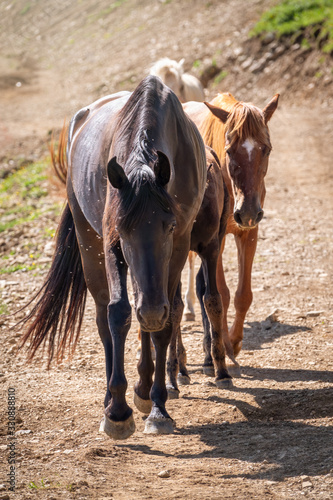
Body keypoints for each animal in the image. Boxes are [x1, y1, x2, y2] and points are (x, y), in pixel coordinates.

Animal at [18, 76, 206, 440]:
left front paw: (158, 407)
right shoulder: (110, 244)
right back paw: (111, 396)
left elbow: (163, 321)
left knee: (150, 314)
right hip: (89, 245)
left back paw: (144, 389)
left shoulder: (177, 247)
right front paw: (117, 412)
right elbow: (118, 313)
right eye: (122, 227)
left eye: (169, 224)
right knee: (106, 320)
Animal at [183, 92, 278, 374]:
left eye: (266, 149)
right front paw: (223, 344)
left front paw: (234, 342)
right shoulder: (217, 239)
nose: (247, 211)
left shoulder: (249, 232)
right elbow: (222, 295)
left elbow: (242, 295)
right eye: (229, 151)